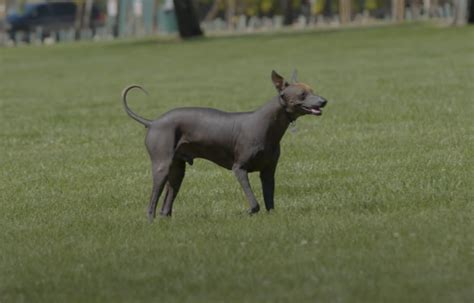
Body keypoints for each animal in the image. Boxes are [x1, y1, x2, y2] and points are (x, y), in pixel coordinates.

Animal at [122, 71, 328, 223]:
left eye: (313, 90)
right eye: (302, 94)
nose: (323, 101)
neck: (267, 125)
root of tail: (153, 122)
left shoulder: (268, 173)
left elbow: (269, 201)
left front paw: (271, 218)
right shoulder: (239, 169)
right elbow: (254, 203)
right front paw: (246, 213)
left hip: (177, 171)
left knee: (166, 203)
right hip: (161, 166)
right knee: (152, 201)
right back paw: (150, 222)